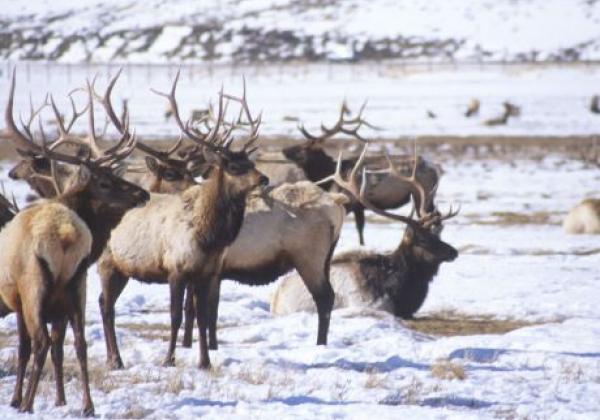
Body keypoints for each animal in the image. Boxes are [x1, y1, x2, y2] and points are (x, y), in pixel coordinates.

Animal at [98, 74, 268, 370]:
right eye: (234, 166)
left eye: (251, 162)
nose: (264, 179)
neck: (209, 237)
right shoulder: (175, 269)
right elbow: (176, 315)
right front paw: (168, 359)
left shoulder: (206, 273)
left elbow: (202, 317)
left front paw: (205, 362)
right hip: (107, 262)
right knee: (106, 307)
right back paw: (116, 359)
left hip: (122, 269)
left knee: (103, 303)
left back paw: (112, 358)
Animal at [282, 101, 440, 244]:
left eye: (303, 148)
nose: (284, 150)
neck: (327, 173)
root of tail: (435, 170)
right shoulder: (359, 207)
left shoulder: (353, 203)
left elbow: (359, 230)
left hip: (422, 195)